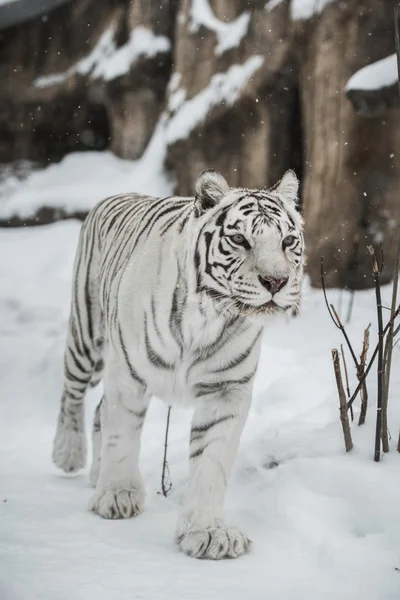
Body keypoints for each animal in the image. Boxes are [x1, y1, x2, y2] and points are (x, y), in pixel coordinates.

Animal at [52, 168, 304, 556]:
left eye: (288, 241)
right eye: (239, 239)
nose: (276, 281)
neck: (209, 315)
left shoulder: (226, 390)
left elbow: (211, 462)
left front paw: (209, 532)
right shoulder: (127, 376)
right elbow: (122, 437)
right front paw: (117, 496)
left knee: (97, 410)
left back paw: (96, 475)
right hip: (87, 333)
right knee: (72, 393)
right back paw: (69, 453)